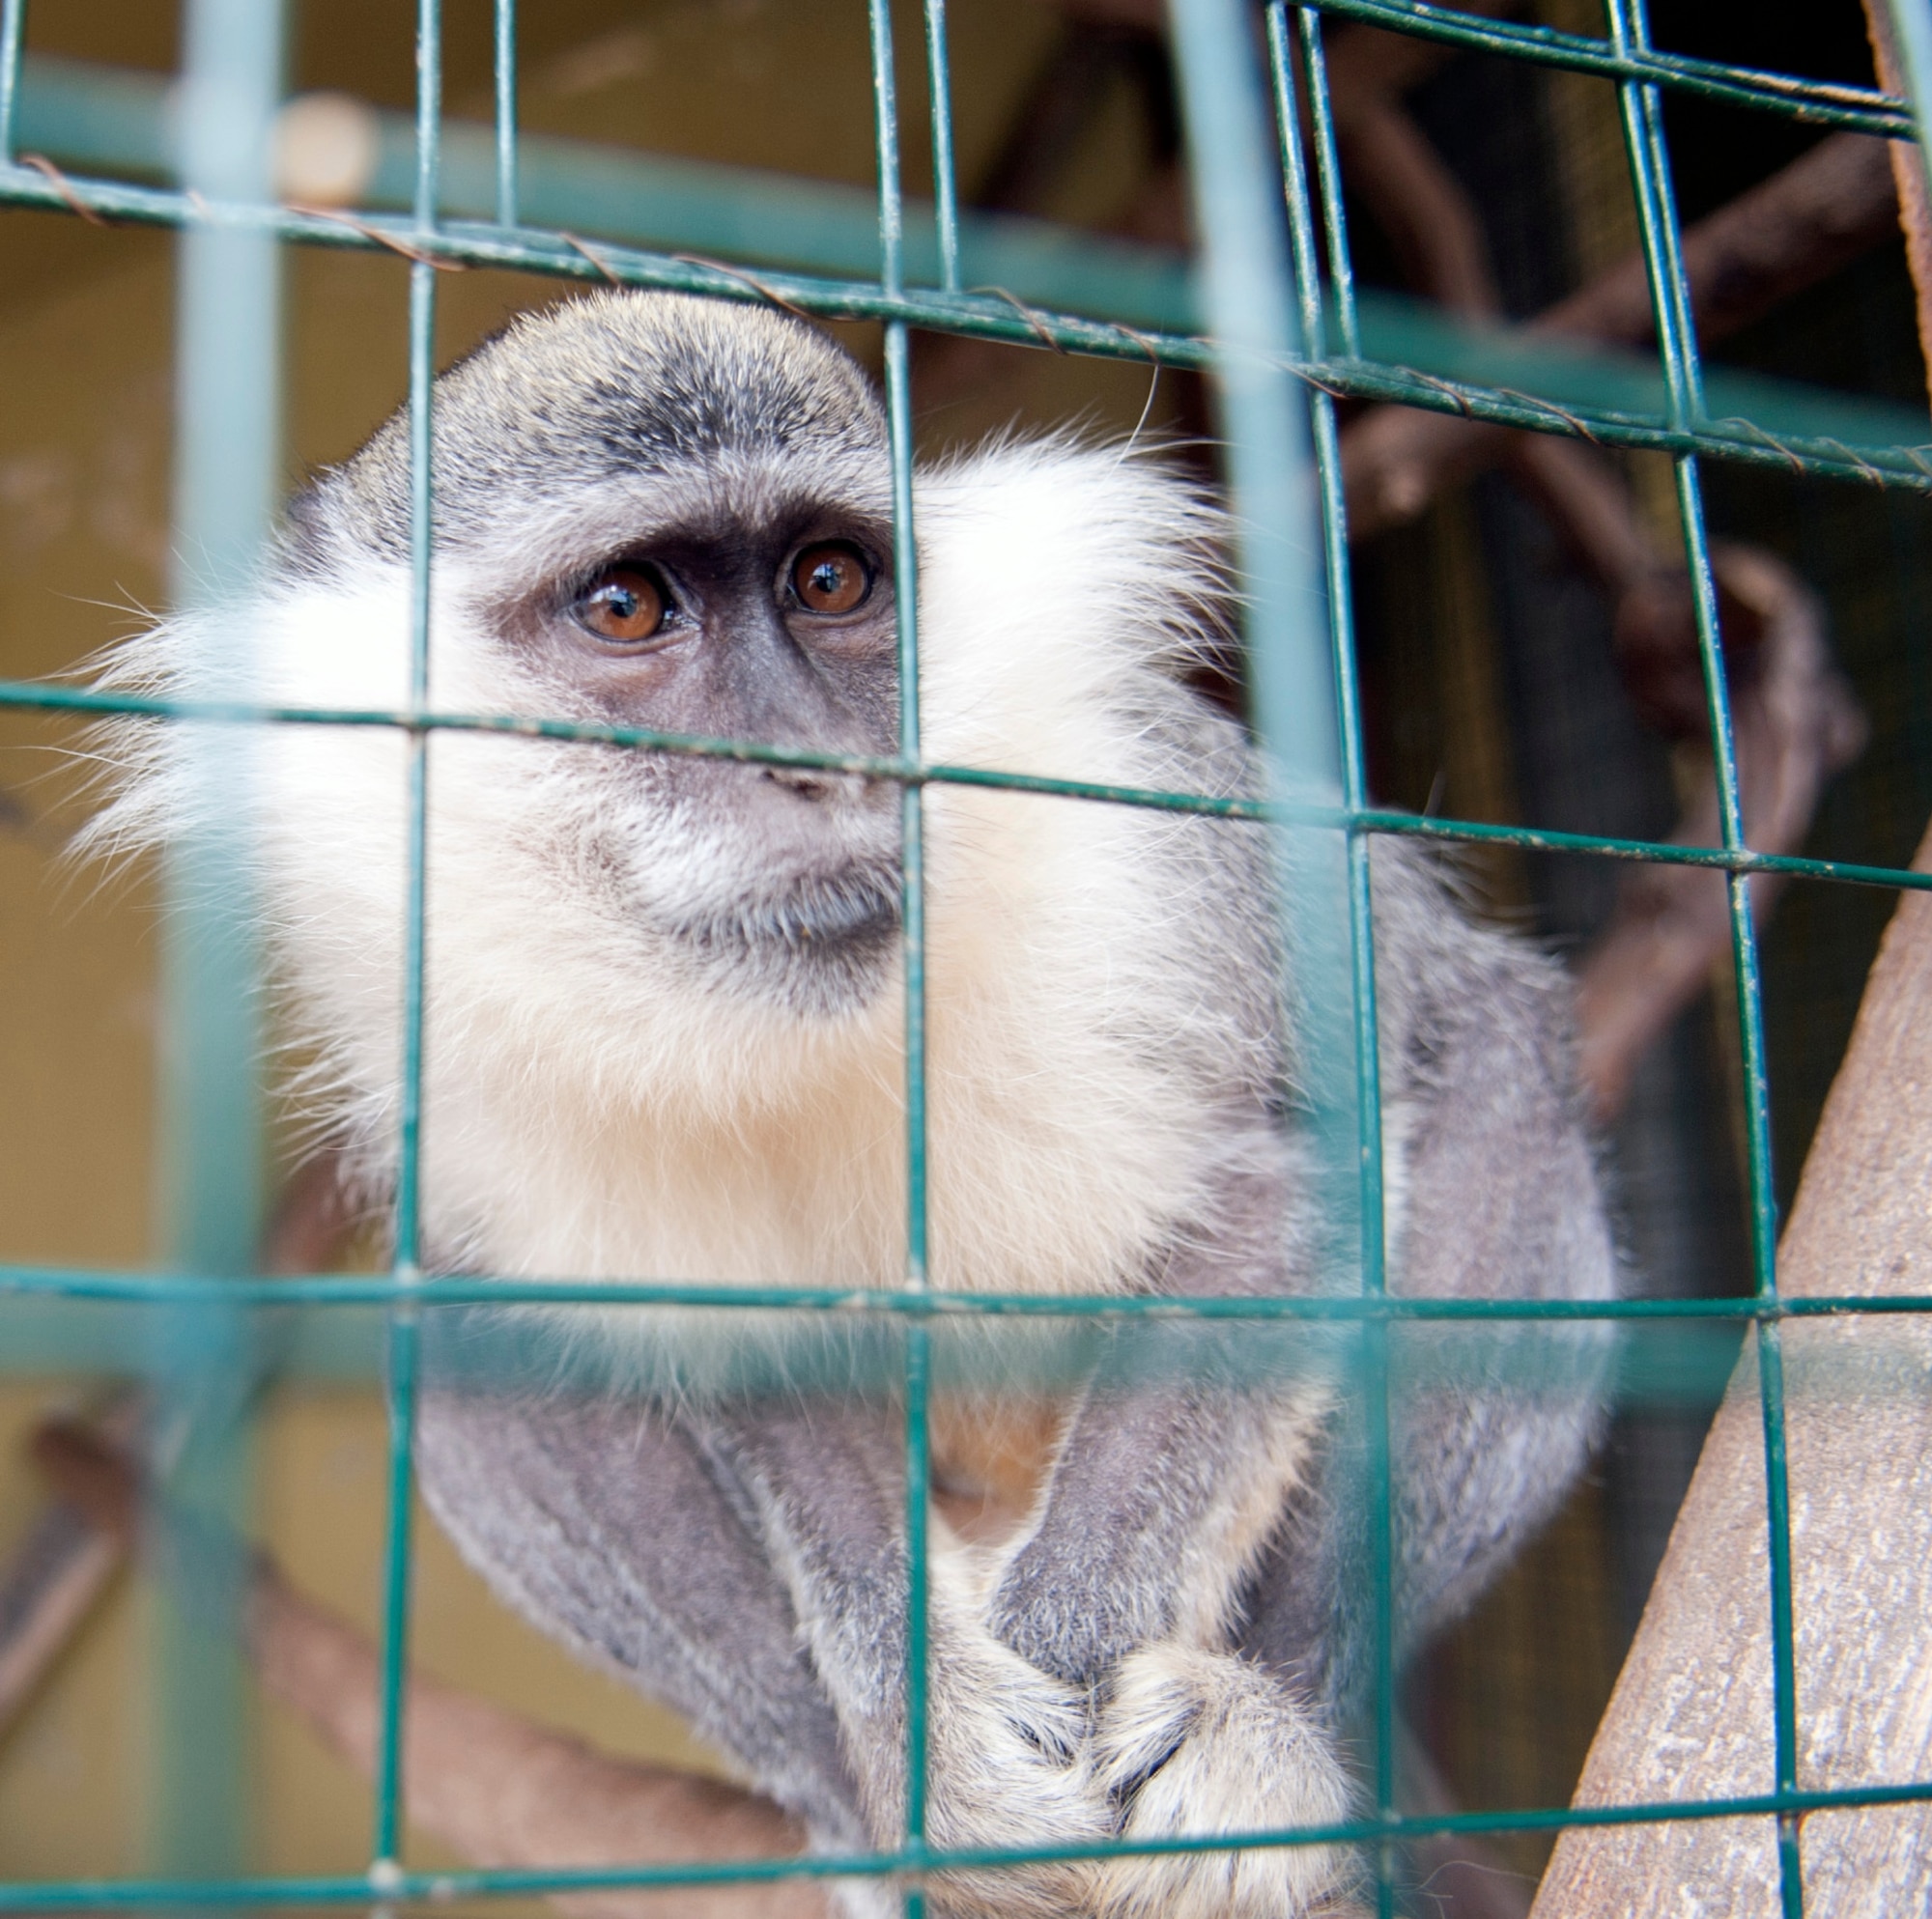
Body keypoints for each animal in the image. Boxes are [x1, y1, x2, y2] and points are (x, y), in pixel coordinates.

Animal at [83, 283, 1623, 1915]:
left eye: (832, 579)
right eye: (626, 608)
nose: (815, 769)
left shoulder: (1164, 830)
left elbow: (1304, 1172)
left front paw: (1113, 1693)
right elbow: (744, 1359)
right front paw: (930, 1764)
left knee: (1498, 1077)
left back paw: (1285, 1753)